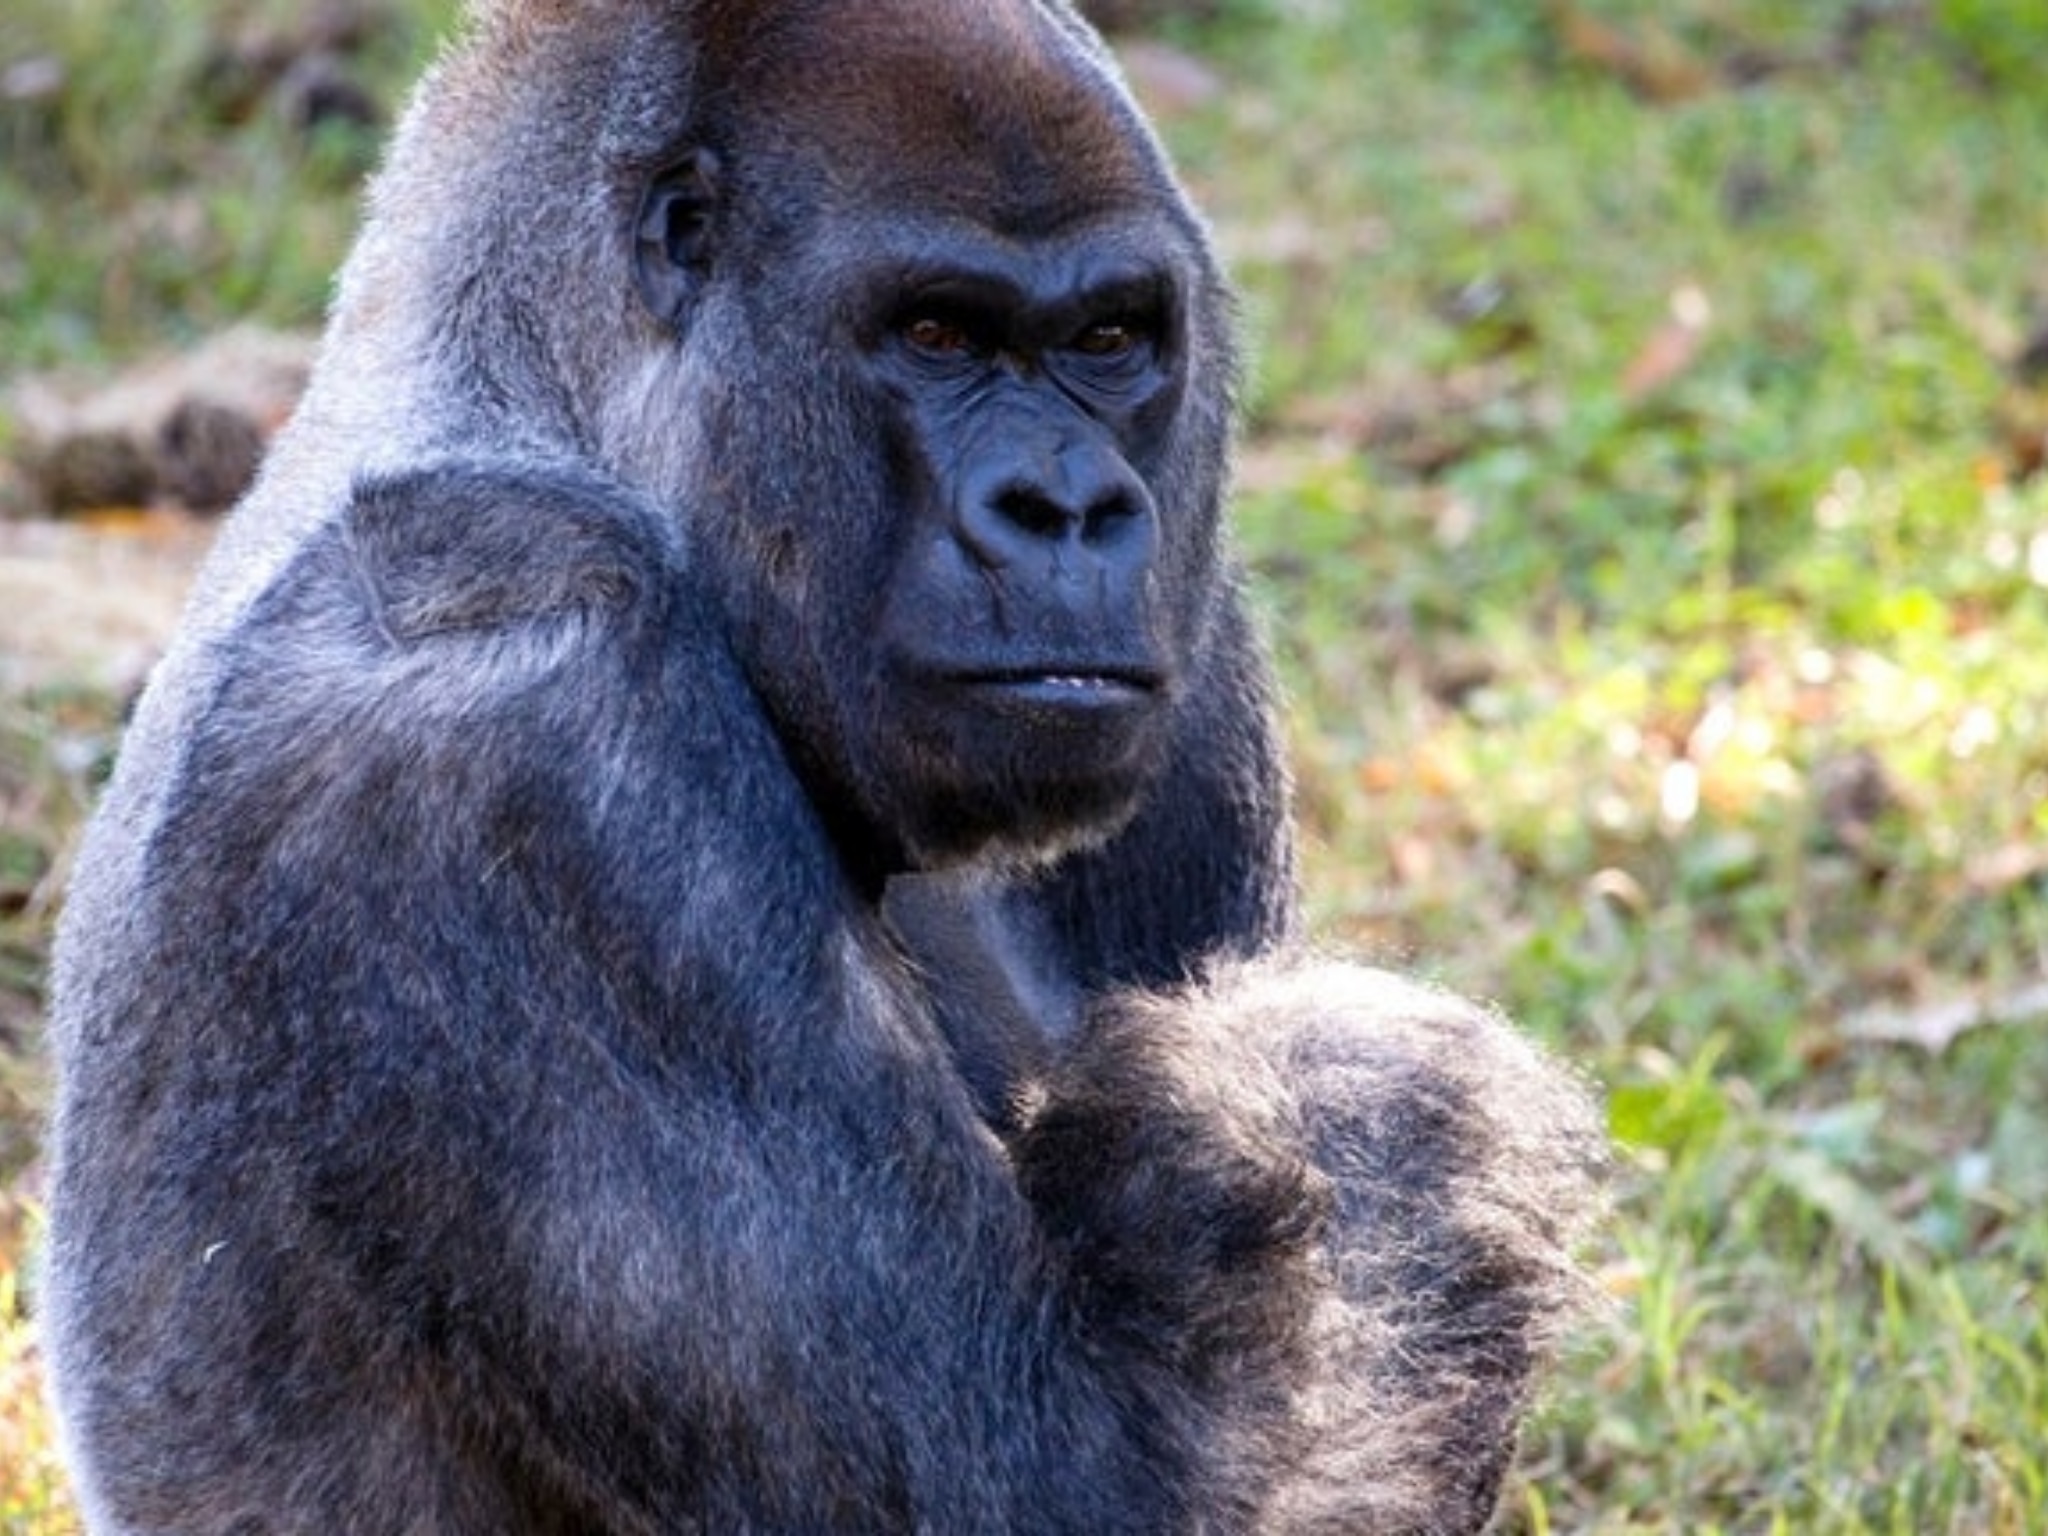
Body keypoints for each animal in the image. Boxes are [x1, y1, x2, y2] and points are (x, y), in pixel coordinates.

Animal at [40, 1, 1605, 1531]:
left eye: (1110, 338)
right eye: (936, 334)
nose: (1070, 507)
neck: (532, 396)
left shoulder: (1196, 639)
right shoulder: (509, 694)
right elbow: (1076, 1478)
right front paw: (1369, 1092)